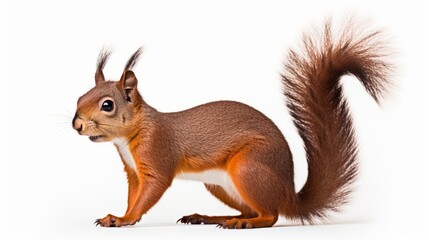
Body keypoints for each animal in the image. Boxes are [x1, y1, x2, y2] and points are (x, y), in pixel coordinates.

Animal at [73, 19, 392, 229]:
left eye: (107, 105)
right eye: (79, 97)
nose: (77, 125)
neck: (133, 133)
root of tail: (288, 195)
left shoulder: (157, 156)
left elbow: (149, 192)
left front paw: (124, 219)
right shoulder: (133, 172)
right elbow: (133, 194)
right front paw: (118, 215)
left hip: (248, 168)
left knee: (270, 215)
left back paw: (242, 224)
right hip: (221, 185)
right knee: (252, 211)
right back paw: (214, 217)